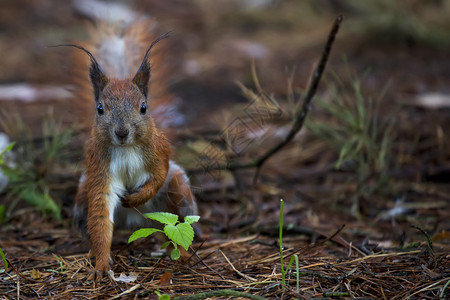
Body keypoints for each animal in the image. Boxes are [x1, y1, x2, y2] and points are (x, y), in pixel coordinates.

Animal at [70, 19, 197, 280]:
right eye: (100, 108)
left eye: (144, 107)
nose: (121, 132)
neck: (127, 147)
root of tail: (135, 224)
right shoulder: (98, 167)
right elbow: (100, 213)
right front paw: (101, 264)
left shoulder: (159, 150)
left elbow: (159, 174)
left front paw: (137, 196)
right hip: (82, 195)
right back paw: (91, 251)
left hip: (179, 189)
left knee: (176, 225)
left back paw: (182, 253)